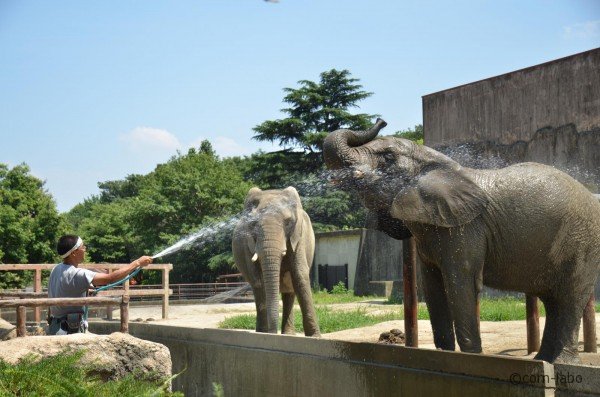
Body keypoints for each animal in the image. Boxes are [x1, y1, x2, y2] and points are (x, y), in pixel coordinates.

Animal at [231, 187, 324, 336]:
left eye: (288, 222)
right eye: (253, 224)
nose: (272, 332)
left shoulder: (298, 237)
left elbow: (299, 275)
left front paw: (315, 337)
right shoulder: (247, 244)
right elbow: (258, 280)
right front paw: (264, 334)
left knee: (290, 290)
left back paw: (288, 334)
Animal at [324, 117, 600, 362]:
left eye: (388, 158)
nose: (381, 121)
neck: (439, 164)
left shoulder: (466, 228)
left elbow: (461, 282)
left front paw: (472, 358)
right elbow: (432, 287)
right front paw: (443, 355)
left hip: (582, 242)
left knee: (570, 298)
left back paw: (560, 362)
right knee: (554, 301)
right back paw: (543, 360)